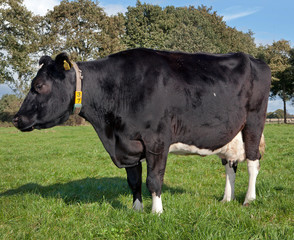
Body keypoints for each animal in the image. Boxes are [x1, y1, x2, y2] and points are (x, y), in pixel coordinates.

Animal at [13, 48, 272, 214]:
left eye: (39, 86)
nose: (16, 119)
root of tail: (253, 58)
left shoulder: (157, 141)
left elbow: (153, 180)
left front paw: (156, 212)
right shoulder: (127, 143)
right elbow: (134, 180)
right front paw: (136, 210)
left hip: (254, 121)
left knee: (253, 161)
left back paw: (248, 200)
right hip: (230, 131)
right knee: (230, 164)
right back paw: (226, 199)